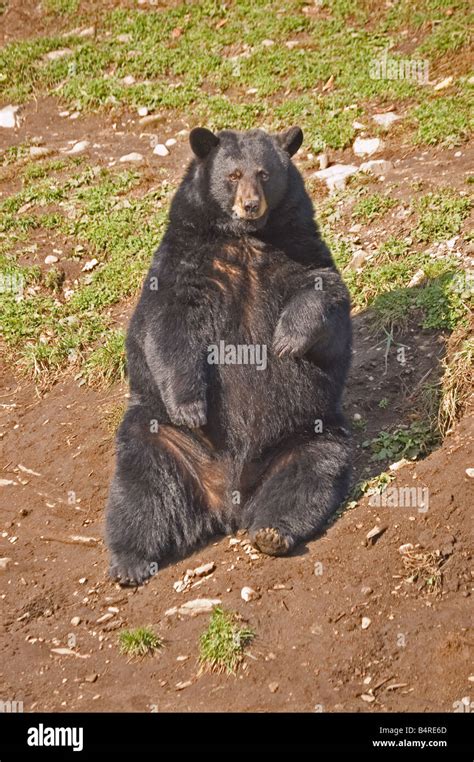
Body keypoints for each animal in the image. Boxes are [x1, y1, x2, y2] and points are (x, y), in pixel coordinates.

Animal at [106, 127, 352, 584]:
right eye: (233, 175)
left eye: (265, 173)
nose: (251, 204)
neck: (245, 241)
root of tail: (227, 504)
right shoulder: (187, 266)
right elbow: (169, 329)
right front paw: (191, 407)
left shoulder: (298, 248)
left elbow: (325, 293)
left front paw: (286, 340)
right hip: (162, 438)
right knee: (141, 490)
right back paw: (129, 561)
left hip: (308, 432)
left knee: (308, 476)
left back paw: (271, 532)